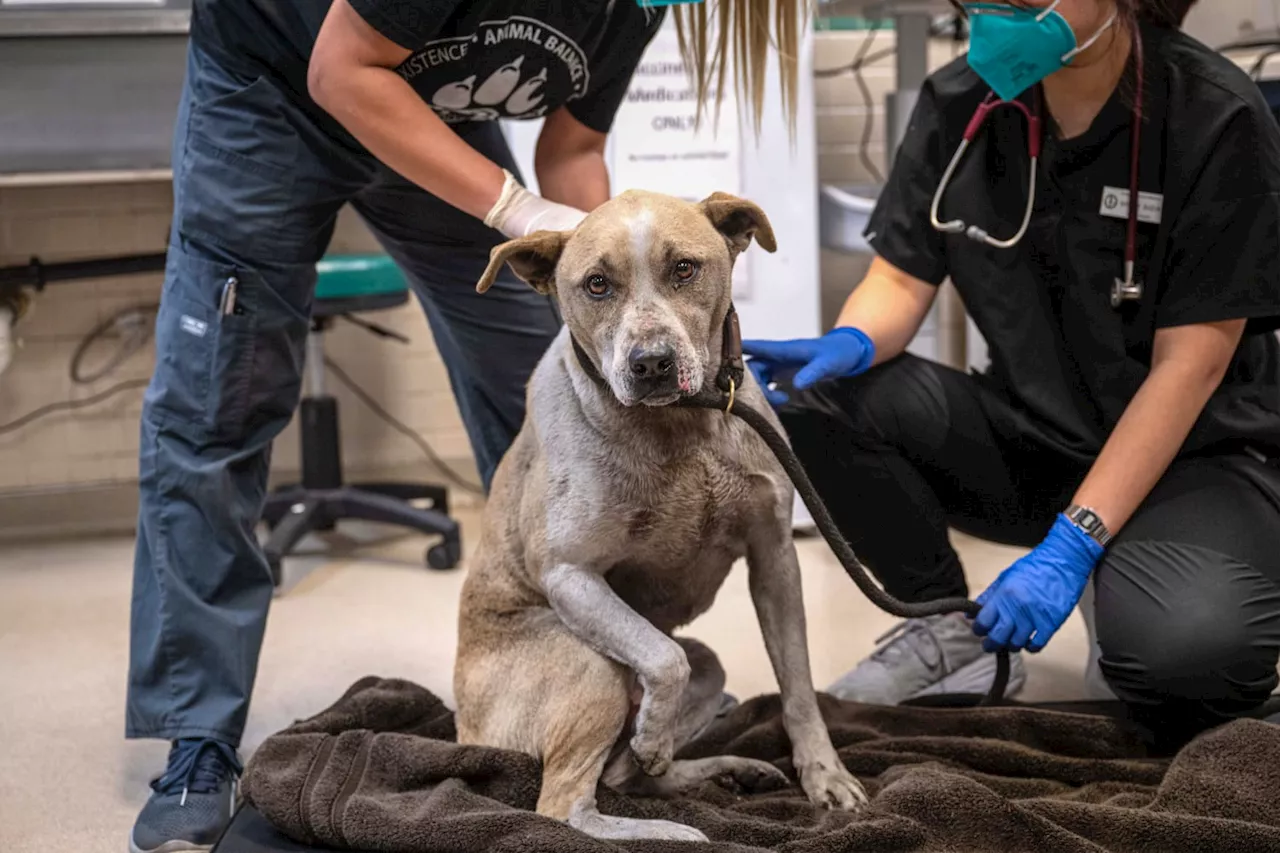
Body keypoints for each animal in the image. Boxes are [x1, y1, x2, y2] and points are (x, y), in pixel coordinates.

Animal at [455, 188, 865, 835]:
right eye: (596, 284)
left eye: (685, 269)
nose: (650, 363)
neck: (681, 423)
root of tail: (462, 733)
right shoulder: (569, 575)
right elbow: (662, 657)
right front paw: (653, 728)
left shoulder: (775, 558)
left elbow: (798, 685)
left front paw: (824, 775)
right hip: (591, 666)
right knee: (566, 806)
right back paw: (676, 829)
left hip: (710, 667)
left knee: (627, 775)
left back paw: (726, 772)